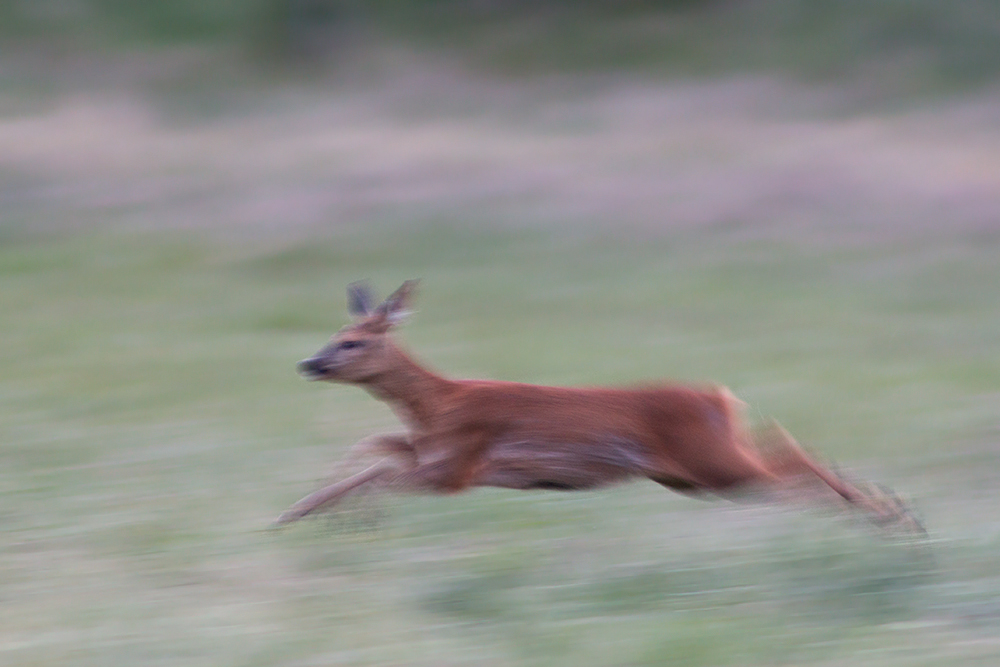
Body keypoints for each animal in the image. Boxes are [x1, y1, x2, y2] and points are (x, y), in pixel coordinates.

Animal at [276, 280, 920, 536]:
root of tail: (719, 396)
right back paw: (888, 512)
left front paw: (319, 516)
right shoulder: (434, 455)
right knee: (790, 450)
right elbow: (371, 450)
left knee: (791, 464)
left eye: (352, 342)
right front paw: (304, 513)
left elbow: (379, 471)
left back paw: (886, 516)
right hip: (697, 473)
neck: (436, 404)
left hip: (713, 464)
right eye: (334, 335)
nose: (309, 364)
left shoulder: (456, 468)